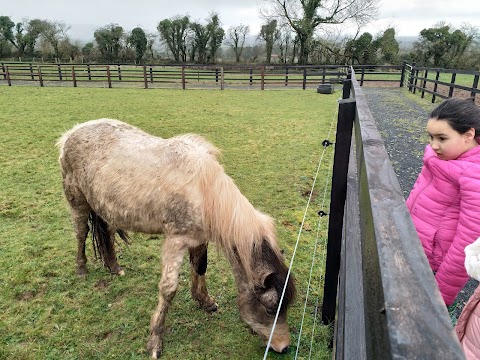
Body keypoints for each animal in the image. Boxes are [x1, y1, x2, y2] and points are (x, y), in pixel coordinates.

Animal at [57, 119, 294, 358]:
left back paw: (115, 267)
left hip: (104, 207)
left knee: (106, 232)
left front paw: (205, 302)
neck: (204, 193)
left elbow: (200, 267)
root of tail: (72, 132)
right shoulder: (176, 241)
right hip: (77, 199)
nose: (283, 347)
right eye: (270, 309)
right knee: (81, 233)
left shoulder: (198, 238)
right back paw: (81, 269)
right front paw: (155, 341)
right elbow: (168, 289)